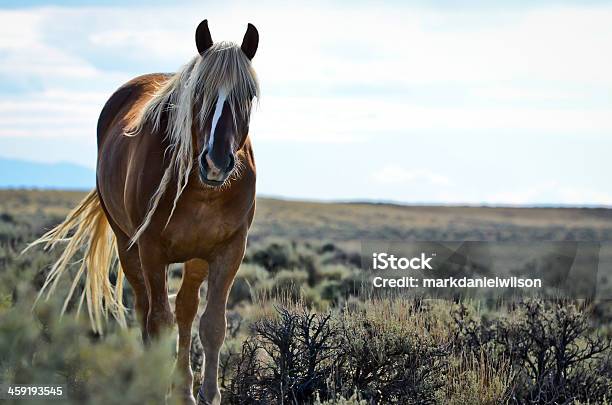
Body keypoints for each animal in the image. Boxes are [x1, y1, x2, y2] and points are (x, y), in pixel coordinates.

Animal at [29, 19, 258, 404]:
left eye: (249, 96)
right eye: (199, 93)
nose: (216, 162)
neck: (202, 191)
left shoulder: (228, 250)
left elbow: (212, 324)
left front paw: (208, 394)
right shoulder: (152, 249)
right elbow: (159, 322)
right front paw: (156, 387)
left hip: (195, 256)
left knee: (185, 310)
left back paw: (184, 389)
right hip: (127, 245)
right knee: (144, 310)